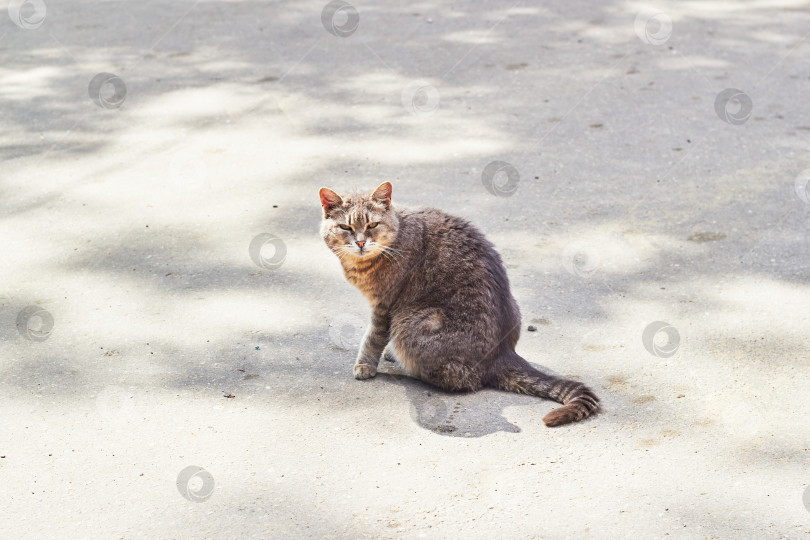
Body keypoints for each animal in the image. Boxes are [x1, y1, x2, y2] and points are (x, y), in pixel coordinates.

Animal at [318, 181, 596, 426]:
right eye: (345, 227)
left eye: (372, 224)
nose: (360, 242)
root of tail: (504, 354)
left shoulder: (385, 306)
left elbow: (372, 338)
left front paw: (364, 365)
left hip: (411, 324)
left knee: (457, 380)